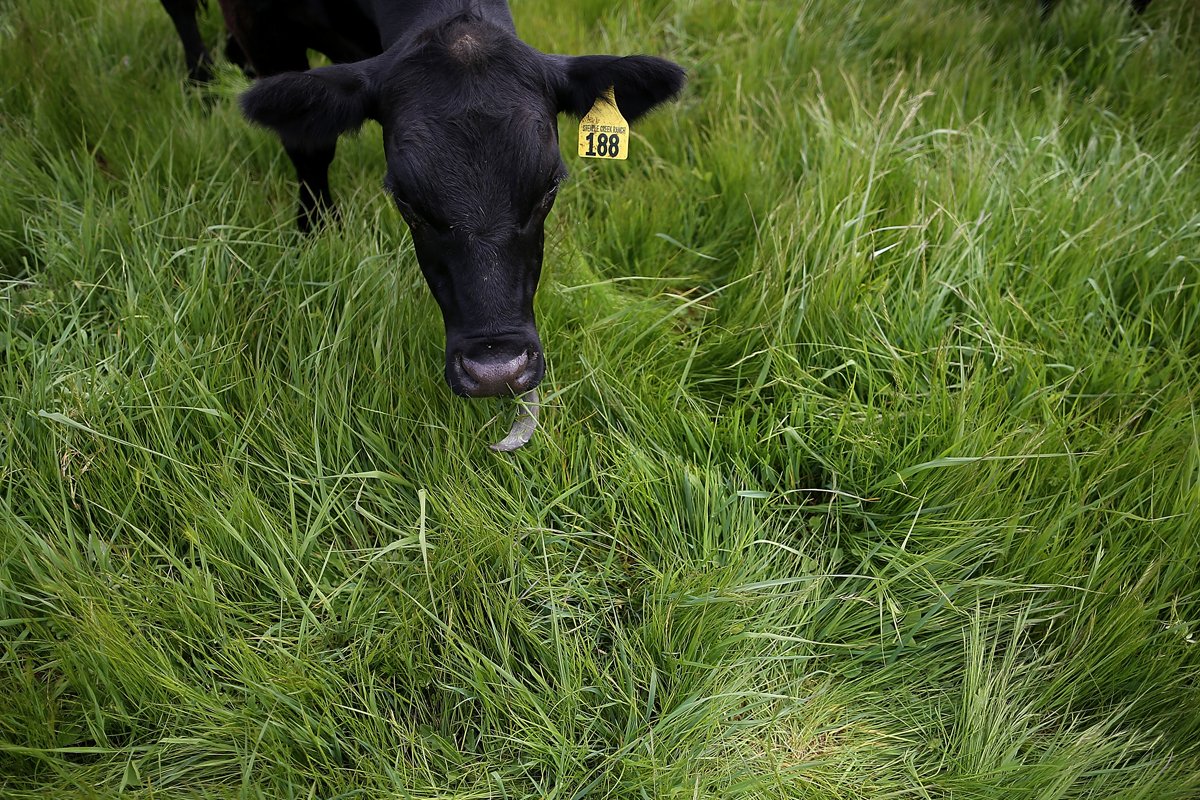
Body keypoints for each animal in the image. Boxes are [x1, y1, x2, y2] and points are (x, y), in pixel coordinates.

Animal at [159, 0, 686, 400]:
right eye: (407, 202)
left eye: (549, 188)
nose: (497, 372)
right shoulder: (263, 25)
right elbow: (309, 145)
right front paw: (316, 231)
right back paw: (200, 82)